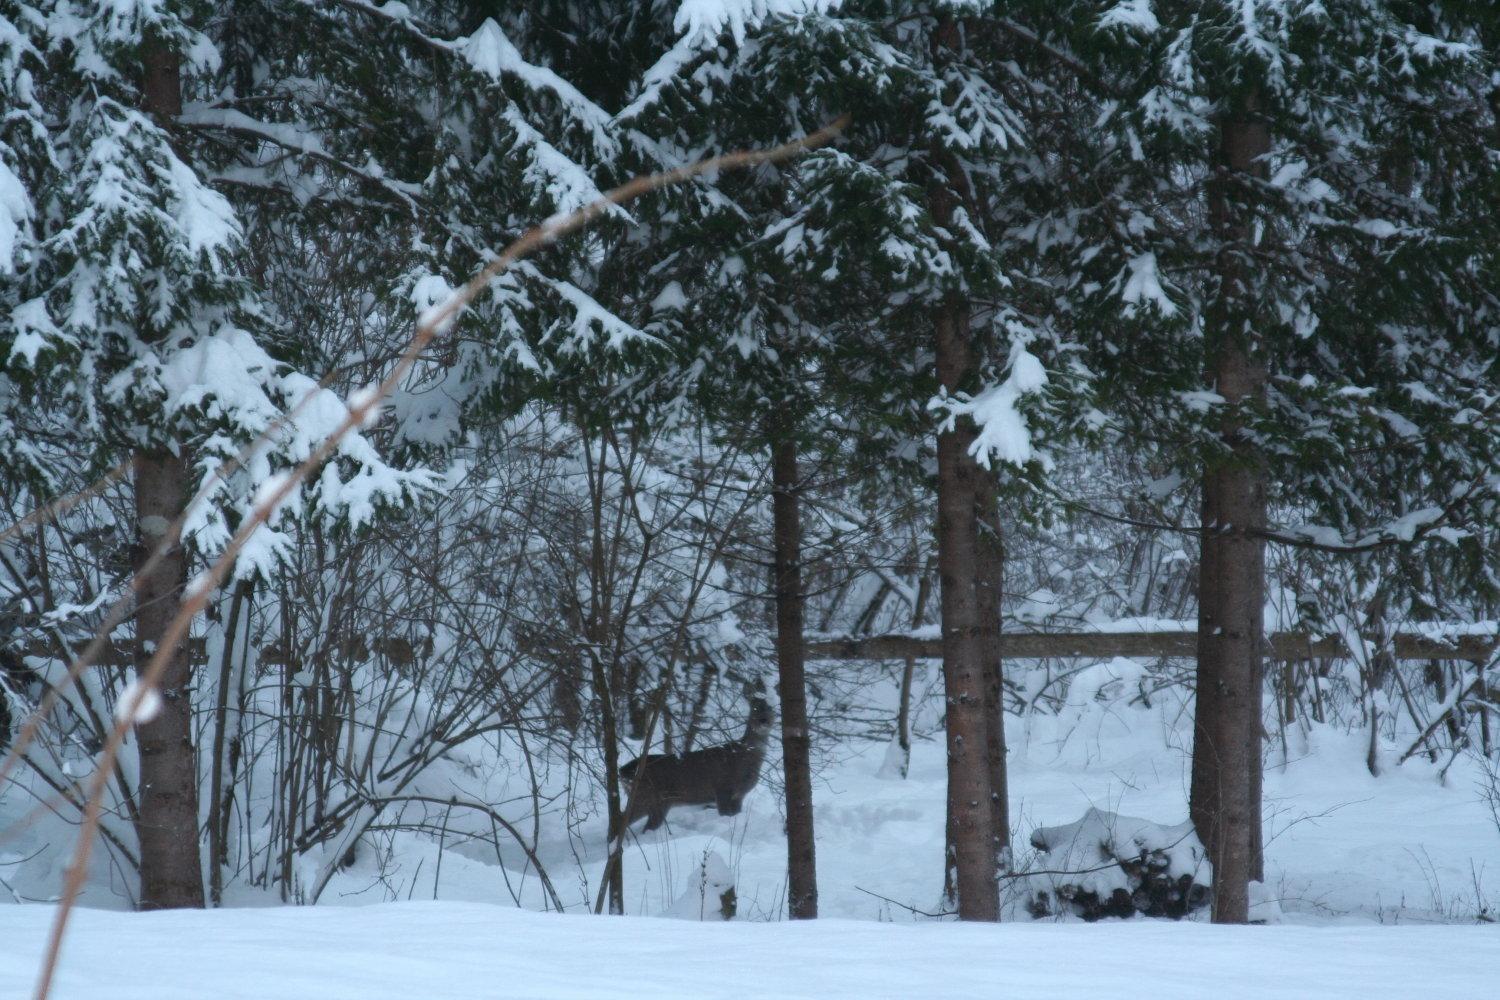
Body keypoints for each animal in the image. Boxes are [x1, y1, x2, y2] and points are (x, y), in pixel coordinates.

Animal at [615, 680, 774, 839]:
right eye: (754, 708)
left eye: (771, 709)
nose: (763, 720)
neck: (744, 757)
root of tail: (623, 771)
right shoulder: (722, 788)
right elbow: (724, 814)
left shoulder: (739, 796)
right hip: (649, 798)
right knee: (624, 823)